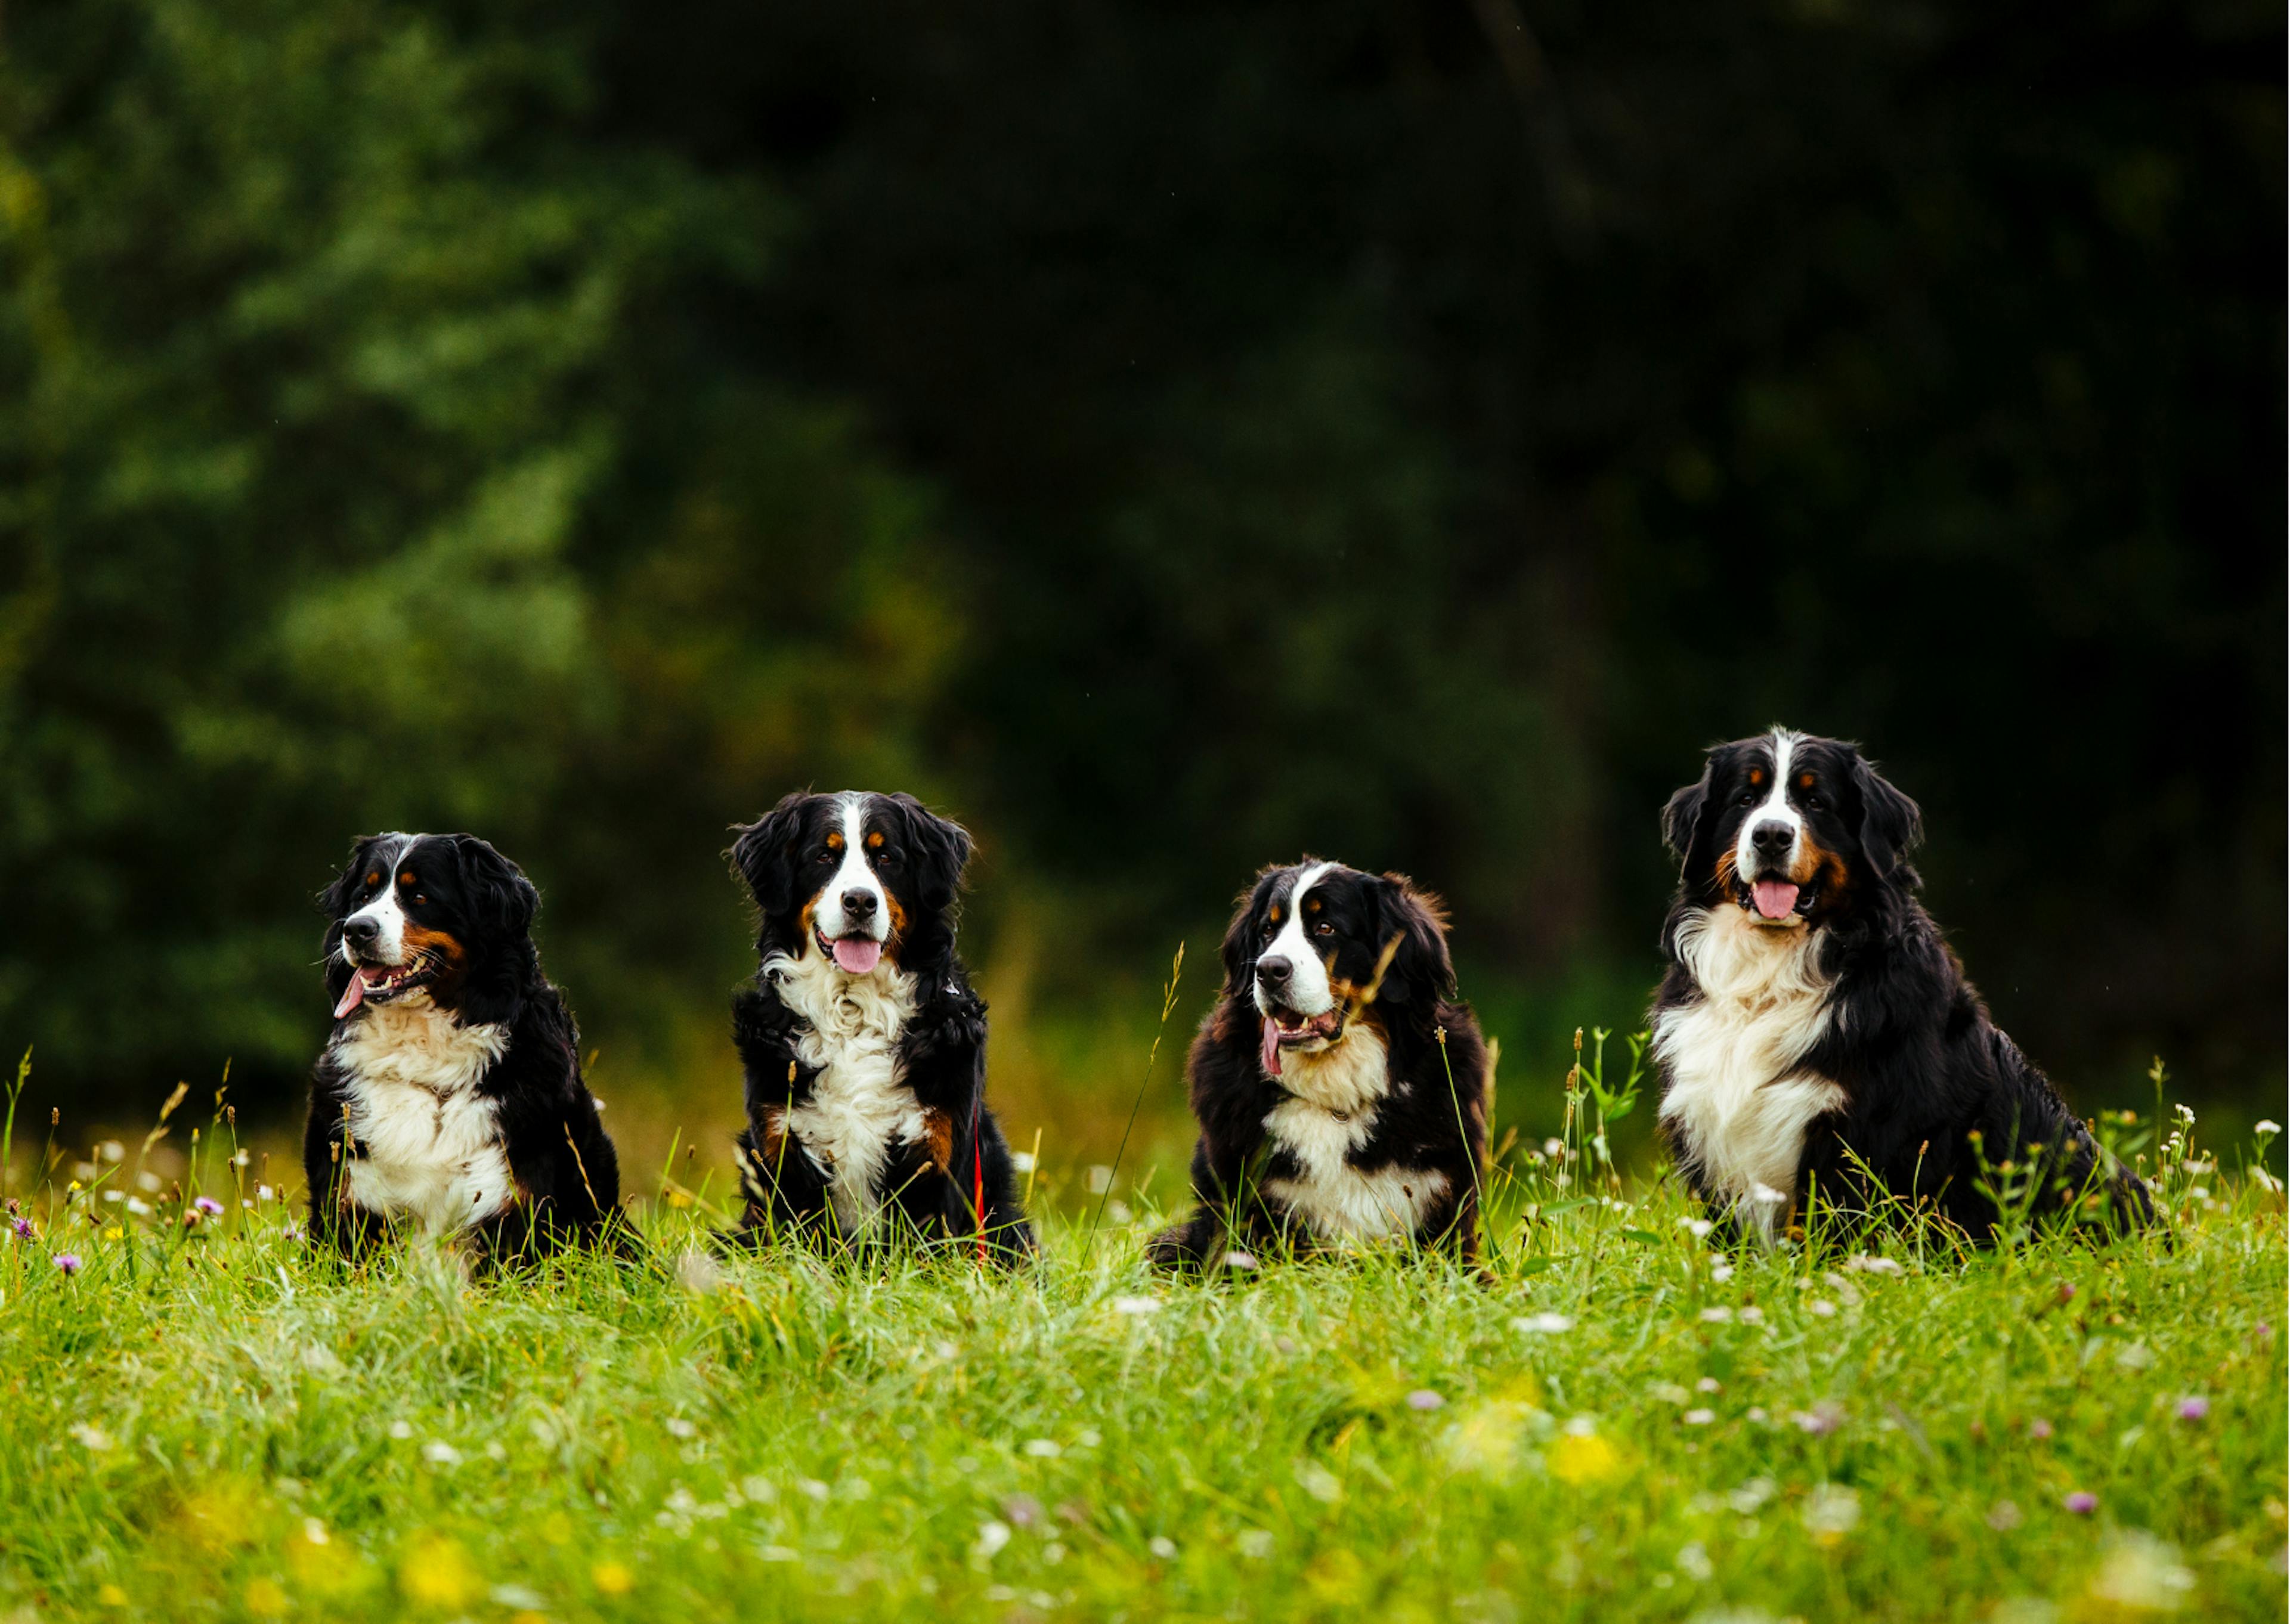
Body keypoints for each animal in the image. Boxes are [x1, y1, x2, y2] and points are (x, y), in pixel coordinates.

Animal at [728, 783, 1035, 1255]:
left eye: (887, 857)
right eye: (824, 856)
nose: (860, 901)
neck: (854, 1012)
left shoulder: (936, 1156)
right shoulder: (783, 1153)